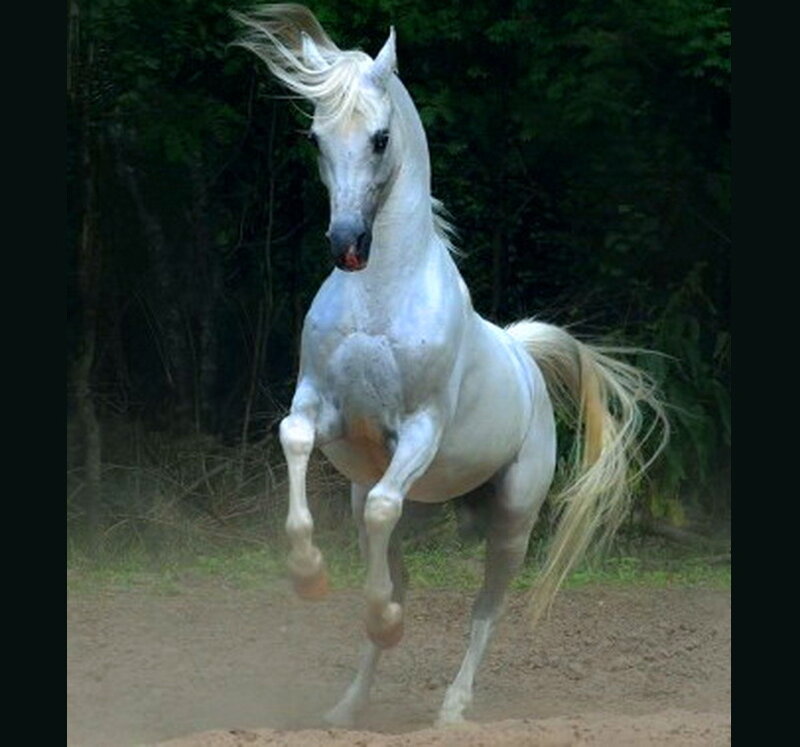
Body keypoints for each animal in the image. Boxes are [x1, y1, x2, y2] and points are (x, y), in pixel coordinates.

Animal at [234, 4, 668, 728]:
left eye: (380, 138)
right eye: (317, 137)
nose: (346, 244)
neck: (381, 295)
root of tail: (523, 355)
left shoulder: (419, 429)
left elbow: (388, 518)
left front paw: (382, 619)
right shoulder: (322, 406)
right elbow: (296, 443)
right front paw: (310, 576)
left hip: (513, 520)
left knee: (484, 609)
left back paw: (452, 707)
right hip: (409, 499)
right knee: (395, 561)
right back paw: (348, 706)